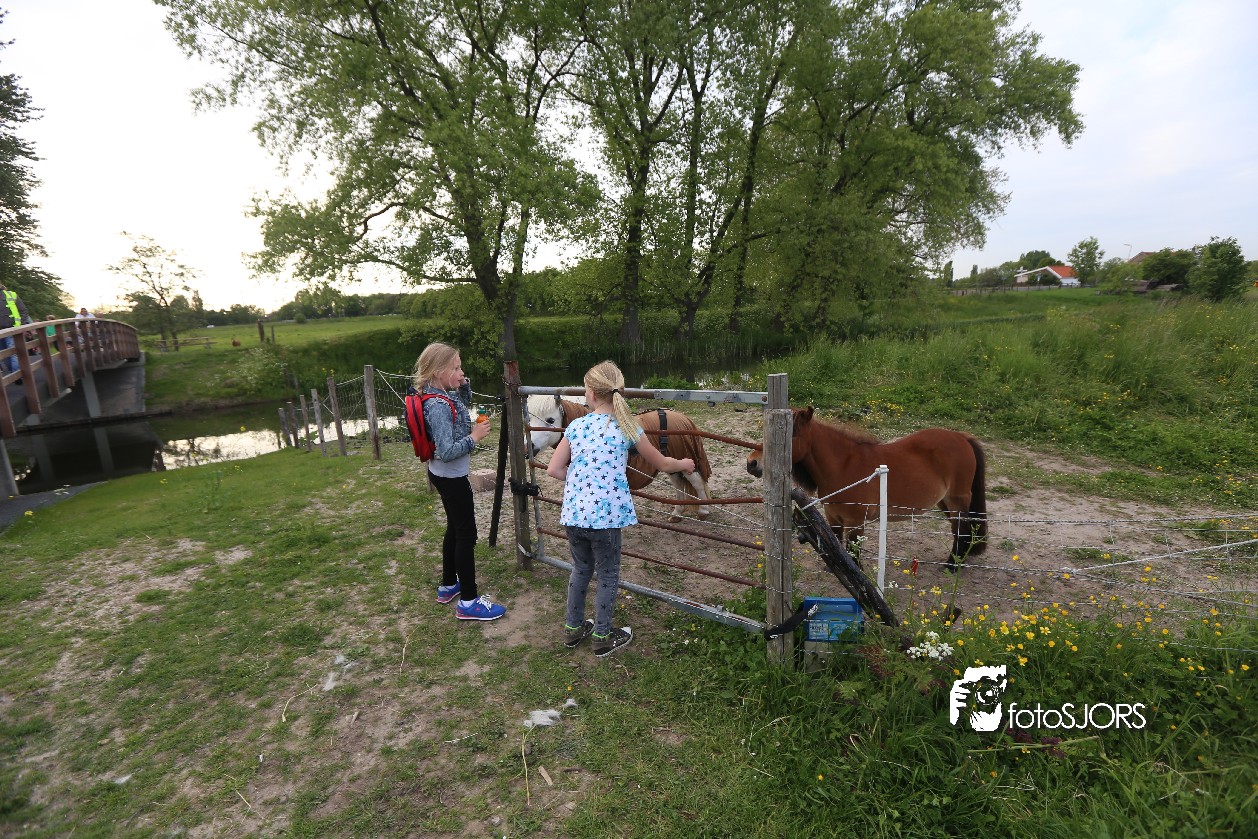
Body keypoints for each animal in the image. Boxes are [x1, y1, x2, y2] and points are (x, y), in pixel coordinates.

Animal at [525, 394, 713, 522]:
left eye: (550, 420)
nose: (529, 447)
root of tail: (683, 418)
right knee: (679, 484)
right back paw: (677, 514)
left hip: (686, 460)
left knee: (696, 482)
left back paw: (703, 511)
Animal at [746, 407, 987, 569]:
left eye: (791, 434)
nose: (752, 463)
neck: (843, 466)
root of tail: (961, 437)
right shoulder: (833, 517)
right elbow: (837, 545)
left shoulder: (855, 522)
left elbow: (852, 551)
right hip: (944, 501)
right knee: (958, 529)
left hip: (956, 499)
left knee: (963, 529)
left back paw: (952, 566)